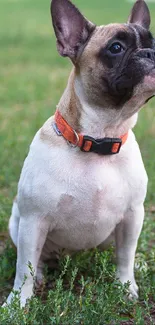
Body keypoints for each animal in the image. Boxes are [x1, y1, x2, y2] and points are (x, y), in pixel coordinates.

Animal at [4, 0, 155, 306]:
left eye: (154, 42)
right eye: (116, 47)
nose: (151, 52)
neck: (100, 138)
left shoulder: (133, 215)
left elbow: (125, 255)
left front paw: (126, 287)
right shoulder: (33, 221)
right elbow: (24, 268)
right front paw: (17, 304)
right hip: (17, 223)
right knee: (35, 260)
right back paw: (40, 275)